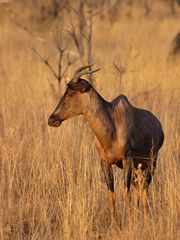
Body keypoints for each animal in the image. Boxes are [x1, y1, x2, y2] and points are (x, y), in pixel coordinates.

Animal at [48, 64, 165, 222]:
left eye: (69, 93)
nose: (51, 119)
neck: (113, 122)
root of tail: (158, 125)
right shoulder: (104, 162)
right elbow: (112, 194)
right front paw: (114, 223)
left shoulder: (127, 160)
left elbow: (125, 193)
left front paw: (130, 223)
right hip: (138, 167)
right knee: (138, 187)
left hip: (151, 163)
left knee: (145, 189)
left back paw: (145, 219)